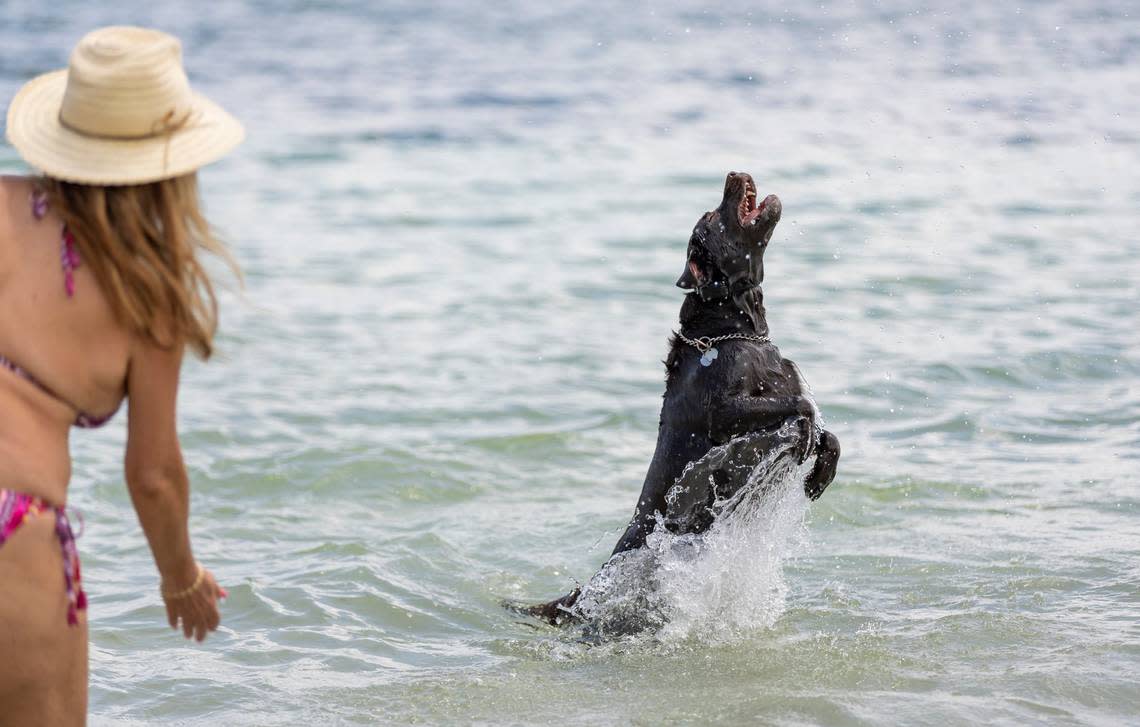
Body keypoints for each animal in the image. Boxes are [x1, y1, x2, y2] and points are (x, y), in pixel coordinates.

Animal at [524, 175, 839, 629]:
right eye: (711, 216)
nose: (734, 174)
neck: (736, 331)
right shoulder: (724, 412)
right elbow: (802, 407)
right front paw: (807, 441)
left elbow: (826, 429)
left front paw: (820, 474)